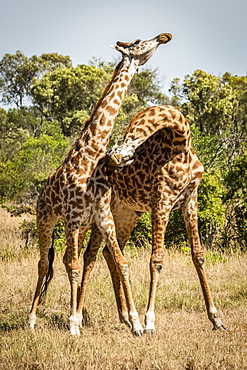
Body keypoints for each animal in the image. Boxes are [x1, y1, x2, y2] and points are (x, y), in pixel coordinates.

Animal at [28, 34, 173, 336]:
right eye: (138, 41)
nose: (163, 37)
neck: (90, 157)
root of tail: (42, 188)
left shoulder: (102, 217)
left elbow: (121, 262)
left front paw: (136, 324)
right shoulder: (72, 218)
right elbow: (73, 267)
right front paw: (73, 325)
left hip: (82, 226)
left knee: (64, 259)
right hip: (46, 219)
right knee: (44, 263)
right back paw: (32, 319)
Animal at [78, 105, 226, 334]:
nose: (106, 169)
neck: (180, 143)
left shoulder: (190, 200)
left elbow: (198, 255)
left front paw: (216, 318)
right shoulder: (162, 202)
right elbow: (156, 259)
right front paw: (149, 321)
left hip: (127, 213)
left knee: (107, 253)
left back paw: (125, 317)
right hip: (104, 214)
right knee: (89, 255)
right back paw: (83, 316)